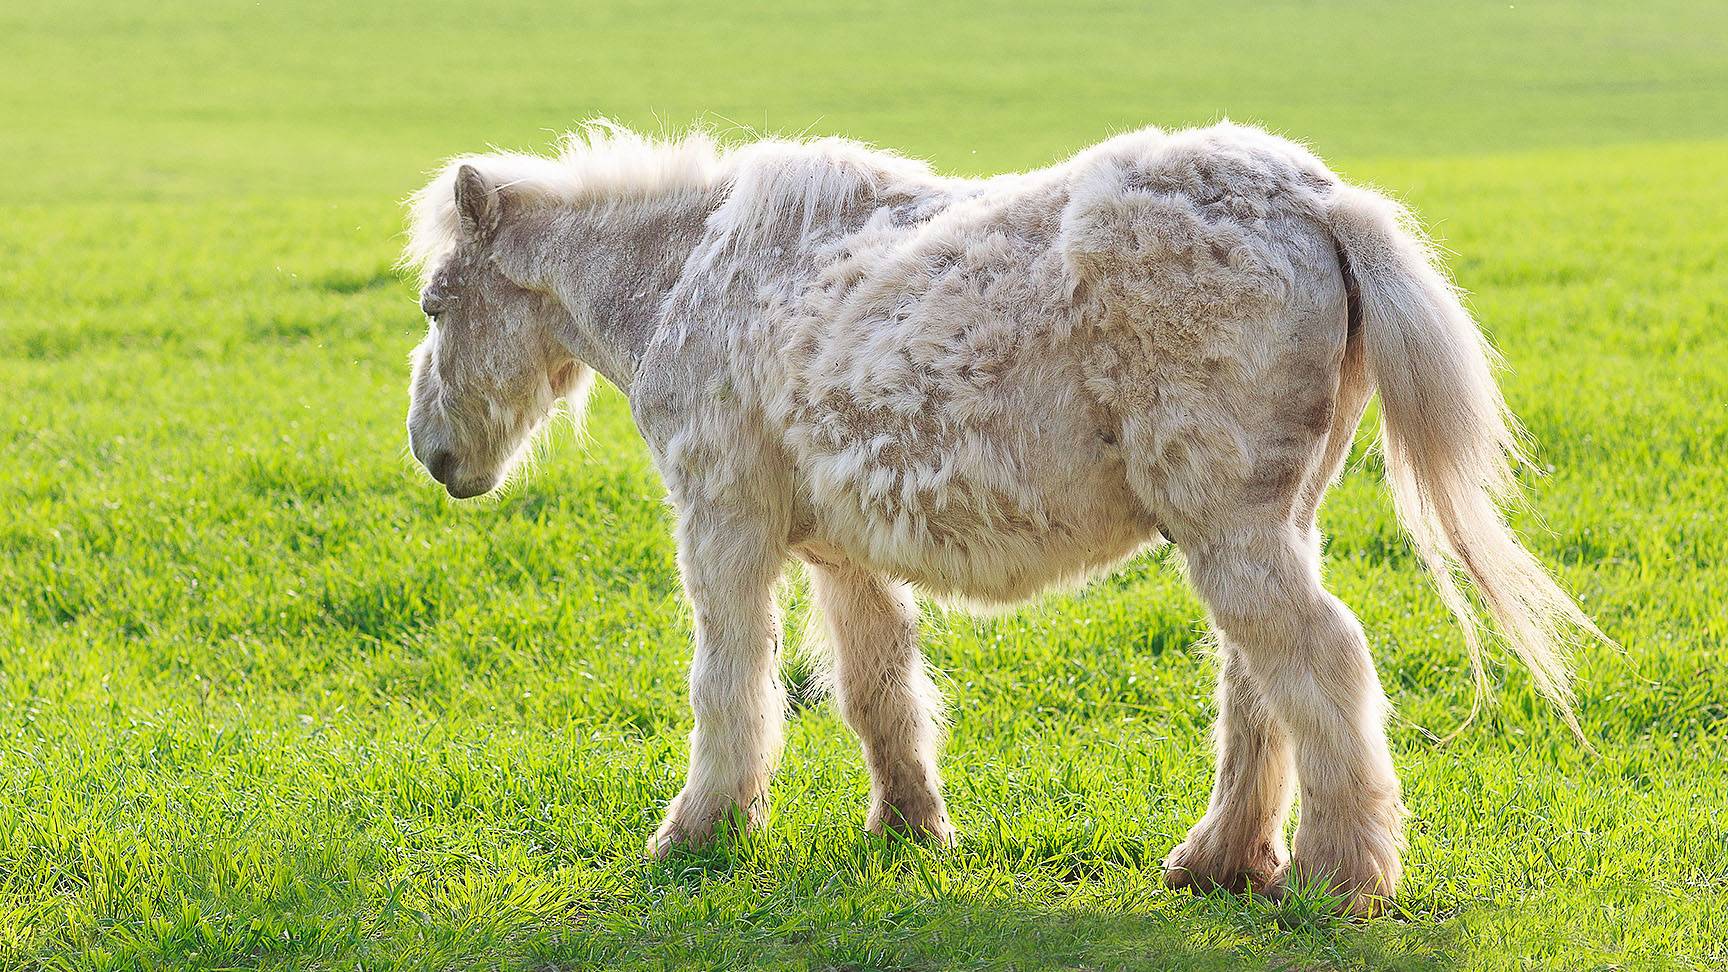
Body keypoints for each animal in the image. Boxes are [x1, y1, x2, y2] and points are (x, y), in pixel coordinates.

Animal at [400, 120, 1604, 915]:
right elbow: (879, 690)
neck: (692, 272)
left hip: (1232, 533)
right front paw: (910, 827)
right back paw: (1222, 861)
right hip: (1264, 528)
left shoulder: (724, 528)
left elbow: (731, 685)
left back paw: (1337, 877)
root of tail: (1317, 201)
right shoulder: (841, 555)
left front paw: (698, 832)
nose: (432, 453)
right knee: (1260, 684)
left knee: (1321, 664)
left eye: (436, 304)